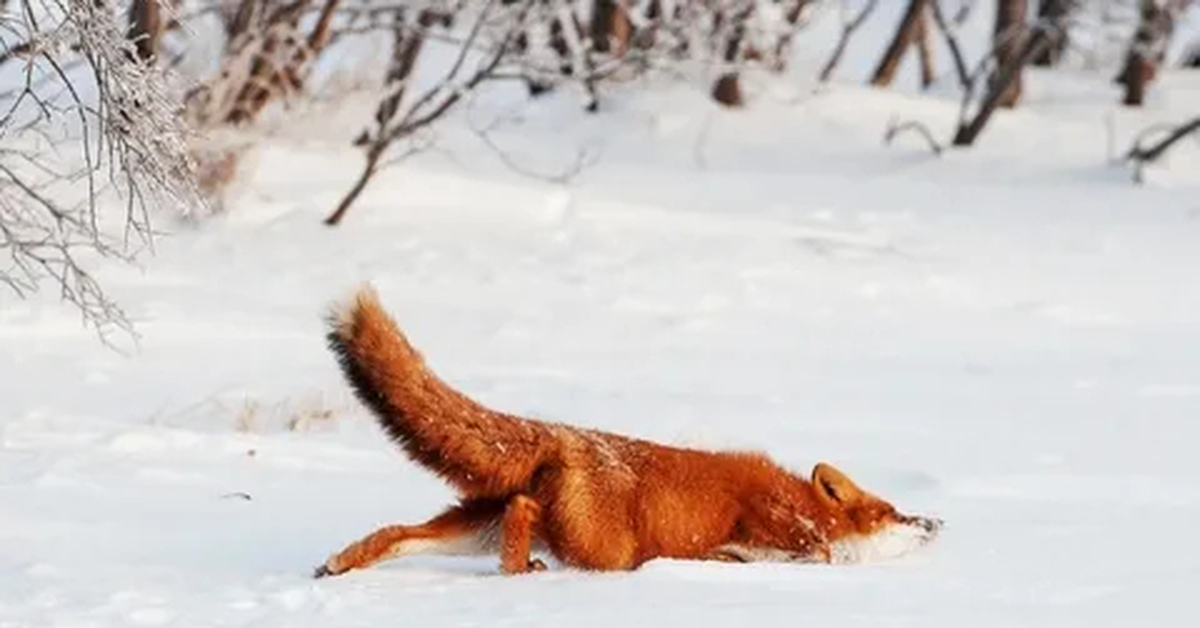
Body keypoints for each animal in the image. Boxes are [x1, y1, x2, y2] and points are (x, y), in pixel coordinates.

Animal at [307, 285, 936, 581]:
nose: (937, 523)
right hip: (603, 550)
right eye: (894, 512)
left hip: (474, 530)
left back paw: (339, 566)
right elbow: (792, 555)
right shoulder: (775, 529)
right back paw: (520, 573)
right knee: (522, 510)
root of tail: (567, 435)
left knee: (403, 532)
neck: (808, 509)